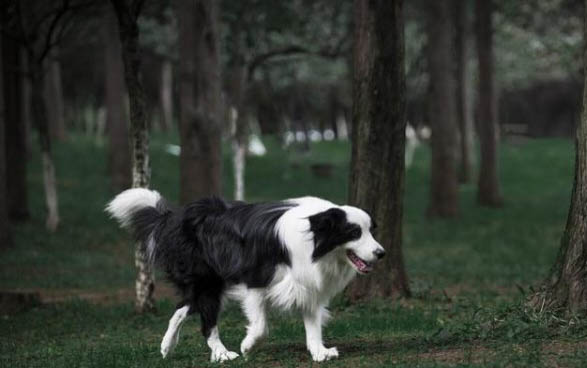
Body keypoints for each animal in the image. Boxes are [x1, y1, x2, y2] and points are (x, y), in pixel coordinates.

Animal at [106, 190, 386, 362]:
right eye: (354, 232)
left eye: (371, 230)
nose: (381, 253)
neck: (313, 235)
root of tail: (173, 216)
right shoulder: (255, 282)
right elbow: (261, 326)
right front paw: (248, 346)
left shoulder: (305, 283)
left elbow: (313, 321)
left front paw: (319, 351)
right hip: (207, 282)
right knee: (207, 322)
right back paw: (222, 354)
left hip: (207, 284)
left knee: (182, 307)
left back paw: (167, 346)